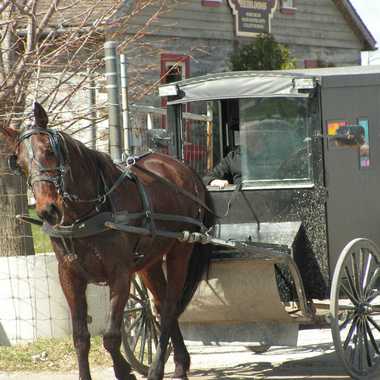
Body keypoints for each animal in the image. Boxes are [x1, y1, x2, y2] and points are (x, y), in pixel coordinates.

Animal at [1, 101, 212, 380]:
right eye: (20, 163)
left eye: (49, 151)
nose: (48, 210)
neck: (87, 213)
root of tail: (182, 169)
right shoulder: (69, 277)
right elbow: (80, 337)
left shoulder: (120, 275)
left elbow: (111, 336)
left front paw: (124, 371)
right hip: (149, 262)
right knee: (158, 303)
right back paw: (179, 363)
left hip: (180, 249)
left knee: (168, 308)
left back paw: (158, 369)